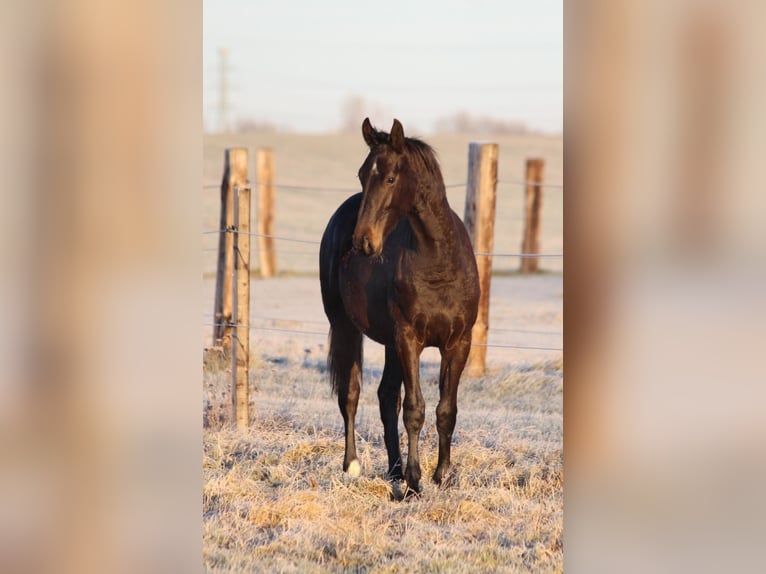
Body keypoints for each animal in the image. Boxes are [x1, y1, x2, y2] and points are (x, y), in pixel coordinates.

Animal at [320, 119, 480, 498]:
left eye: (391, 177)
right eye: (362, 174)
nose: (363, 241)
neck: (439, 262)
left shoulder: (458, 344)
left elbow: (445, 409)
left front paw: (442, 475)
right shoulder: (409, 340)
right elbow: (414, 409)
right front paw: (415, 480)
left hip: (390, 344)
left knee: (385, 397)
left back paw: (393, 470)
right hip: (345, 327)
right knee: (350, 394)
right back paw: (353, 466)